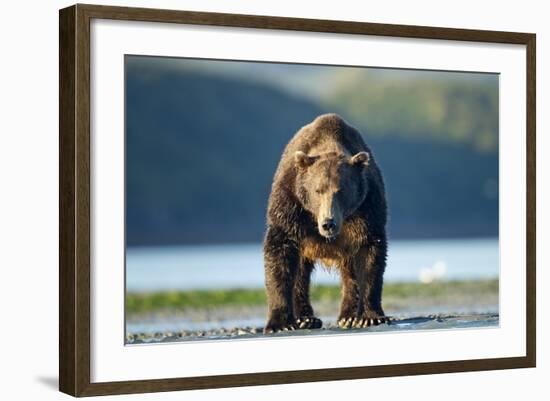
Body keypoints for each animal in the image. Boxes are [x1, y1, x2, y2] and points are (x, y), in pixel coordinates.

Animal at [264, 111, 388, 332]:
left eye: (341, 191)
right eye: (317, 190)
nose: (328, 223)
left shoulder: (367, 207)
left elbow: (370, 256)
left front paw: (370, 316)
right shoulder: (291, 204)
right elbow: (280, 253)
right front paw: (280, 323)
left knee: (350, 273)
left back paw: (348, 316)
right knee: (301, 273)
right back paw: (306, 318)